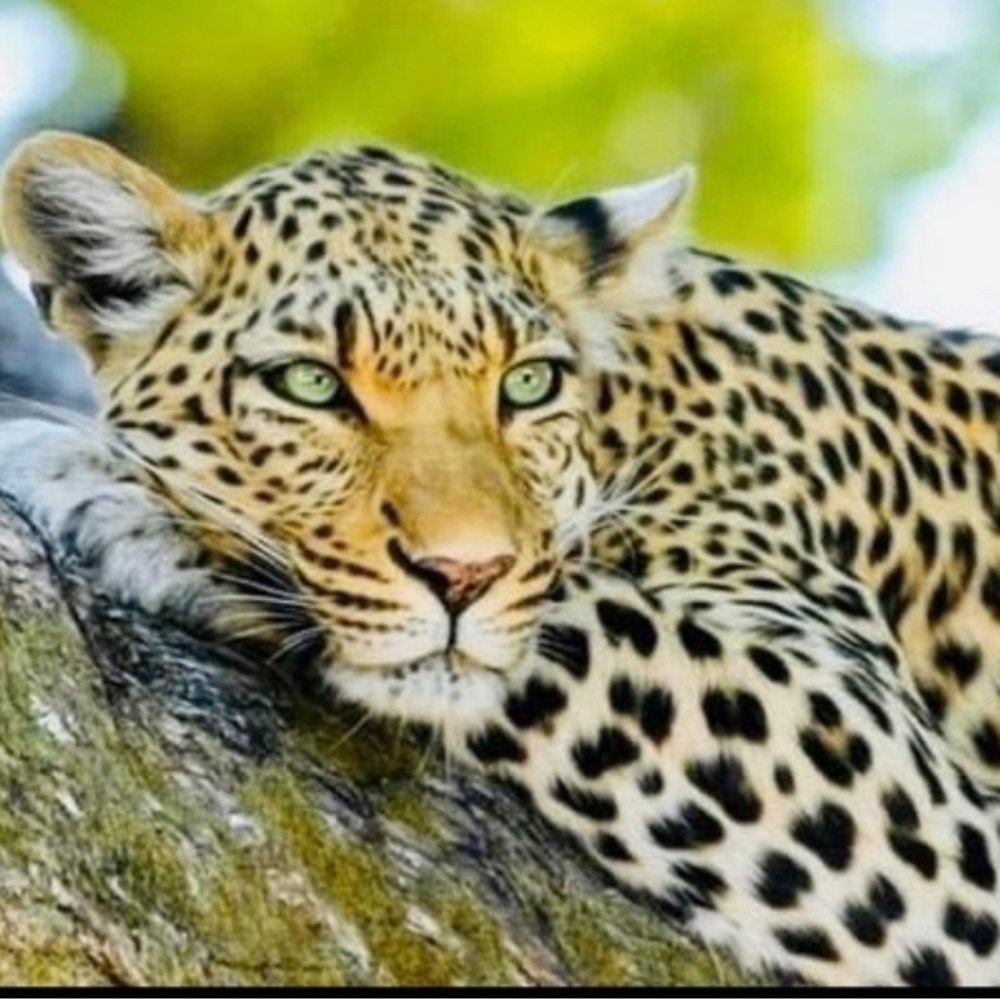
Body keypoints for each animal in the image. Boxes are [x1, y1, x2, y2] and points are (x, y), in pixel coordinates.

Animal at [3, 130, 1000, 985]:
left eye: (528, 384)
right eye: (311, 385)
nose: (463, 576)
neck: (638, 407)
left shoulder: (911, 793)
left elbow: (581, 617)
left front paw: (121, 493)